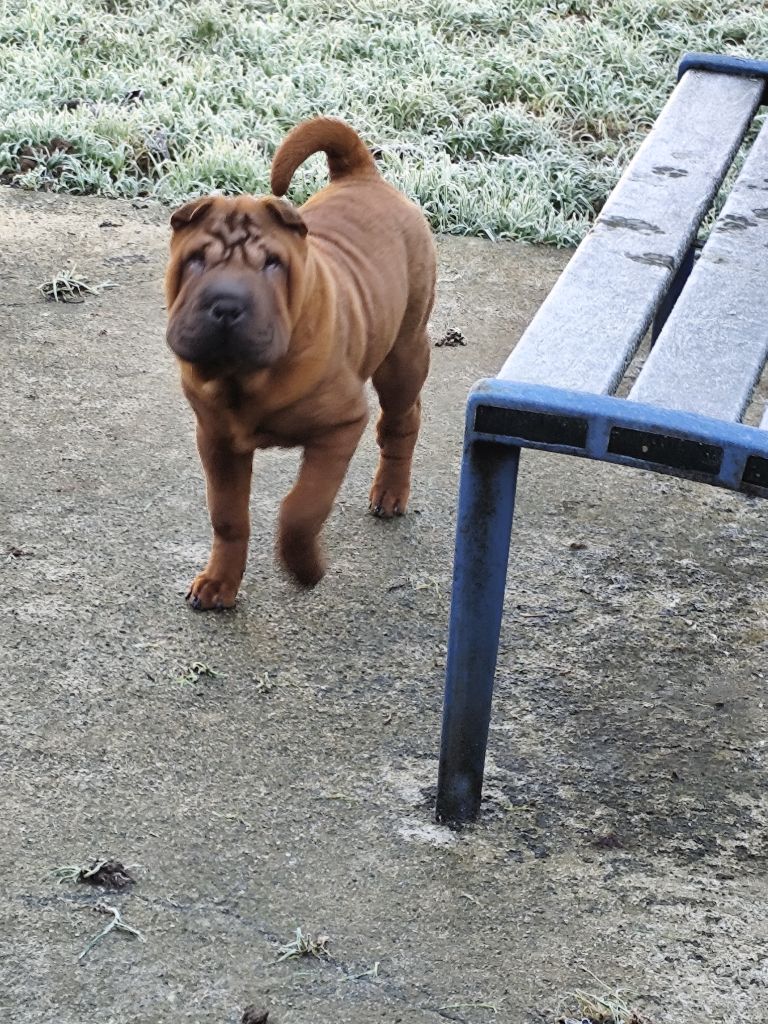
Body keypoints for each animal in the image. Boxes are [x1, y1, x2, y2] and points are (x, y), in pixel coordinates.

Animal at [165, 117, 436, 606]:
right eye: (195, 260)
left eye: (272, 265)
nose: (226, 305)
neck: (245, 379)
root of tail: (362, 174)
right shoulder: (216, 440)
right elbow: (227, 517)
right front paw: (219, 583)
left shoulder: (340, 427)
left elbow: (302, 508)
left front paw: (305, 569)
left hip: (402, 354)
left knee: (402, 419)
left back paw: (390, 492)